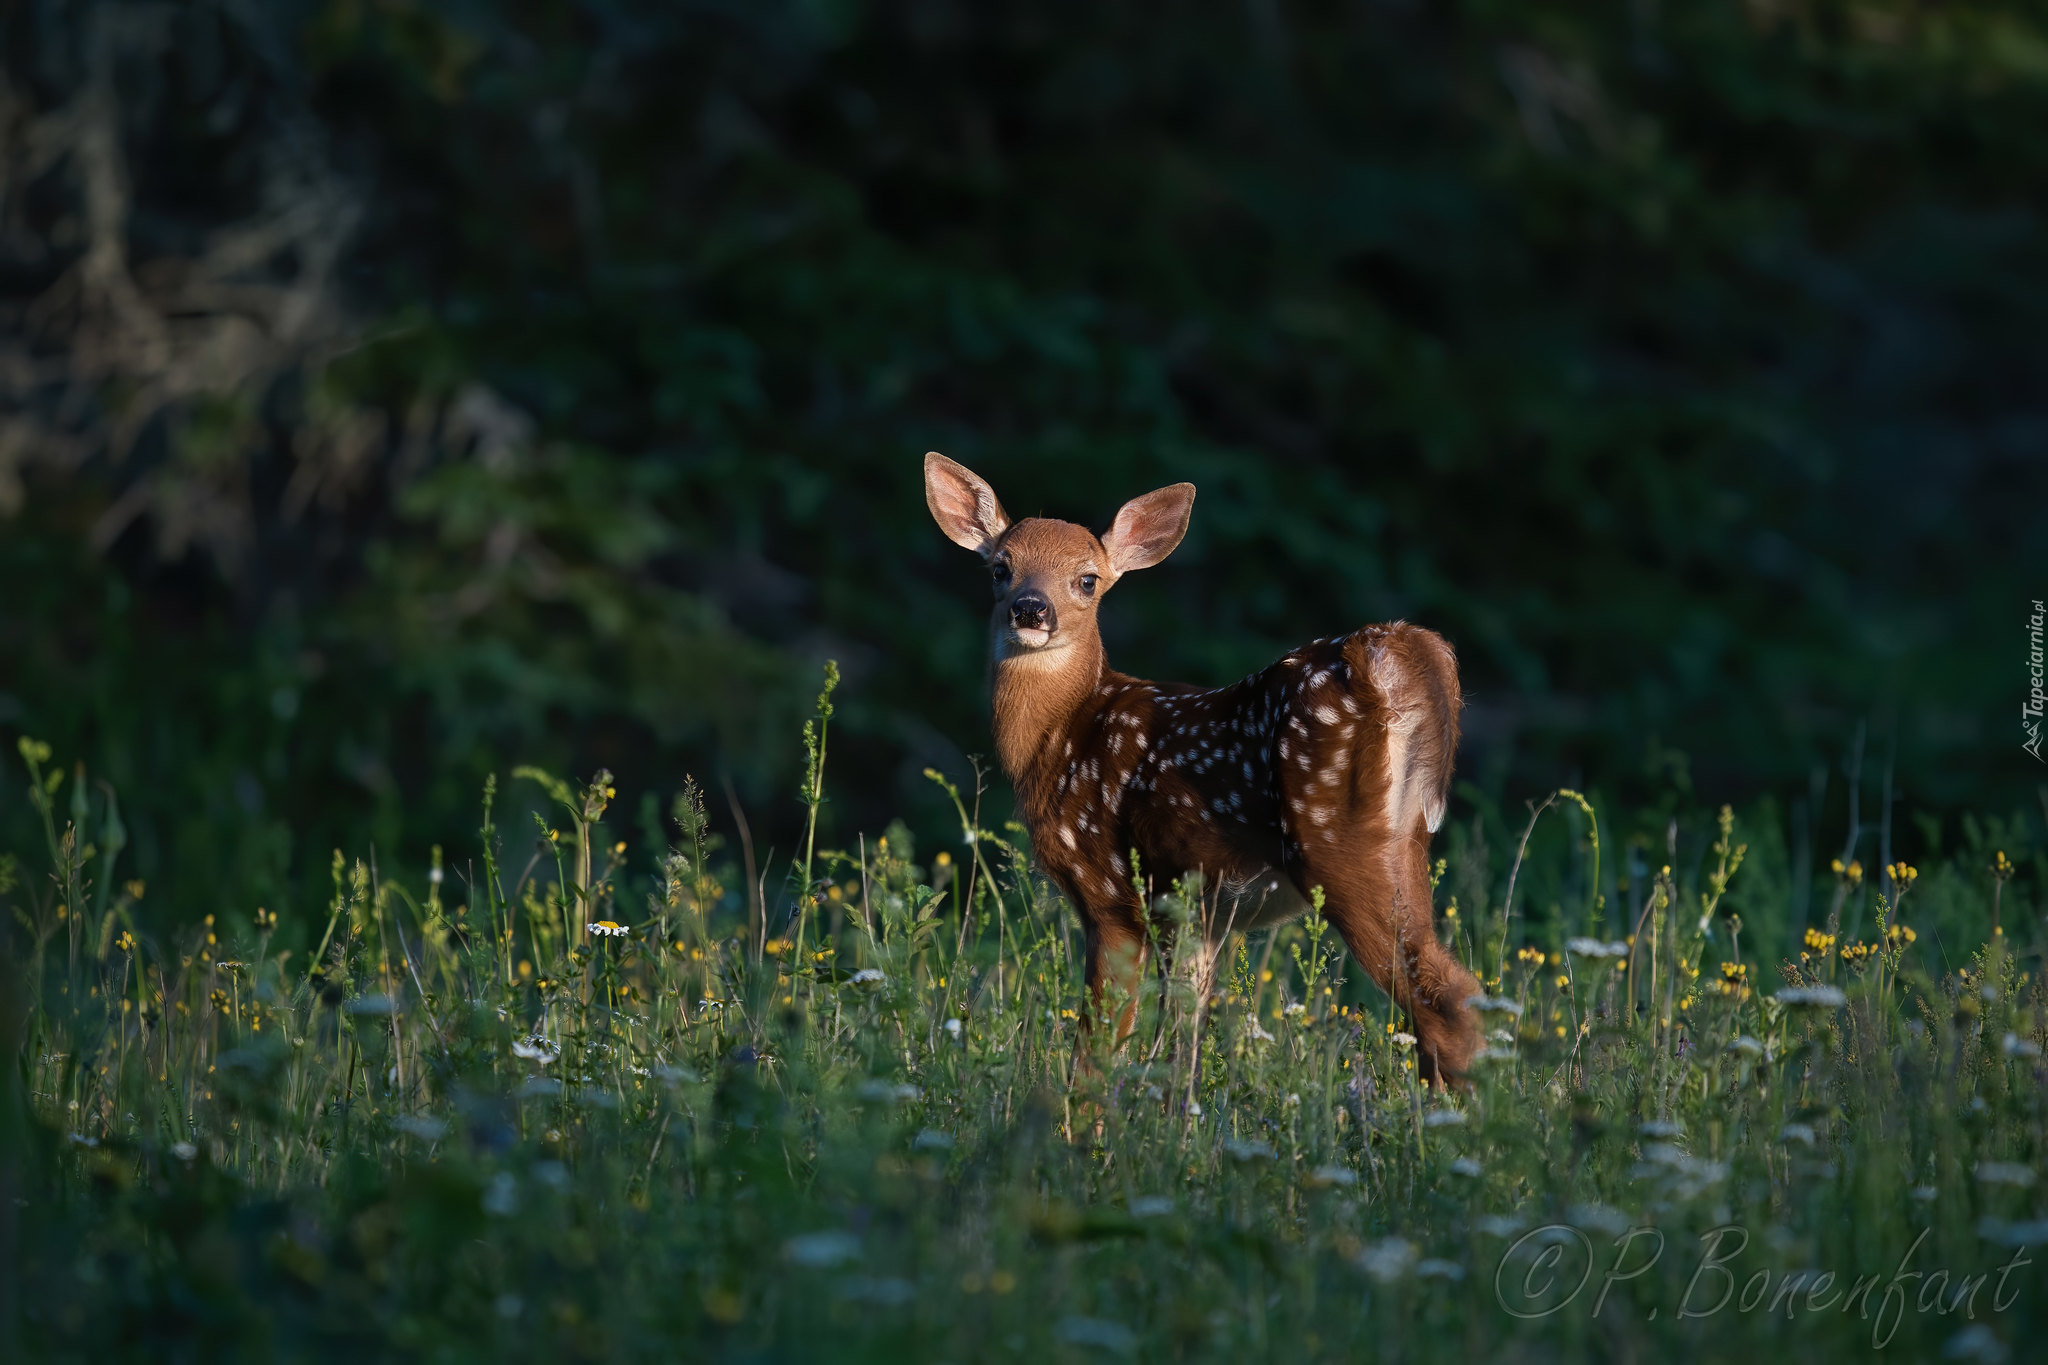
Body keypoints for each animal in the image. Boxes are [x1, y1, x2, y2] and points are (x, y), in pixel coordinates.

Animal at [933, 456, 1490, 1088]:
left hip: (1337, 842)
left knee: (1448, 1002)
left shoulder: (1110, 891)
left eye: (1087, 579)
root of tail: (1397, 650)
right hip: (1405, 843)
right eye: (1000, 568)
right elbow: (1184, 1040)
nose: (1031, 609)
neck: (1061, 736)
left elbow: (1096, 1052)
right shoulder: (1195, 914)